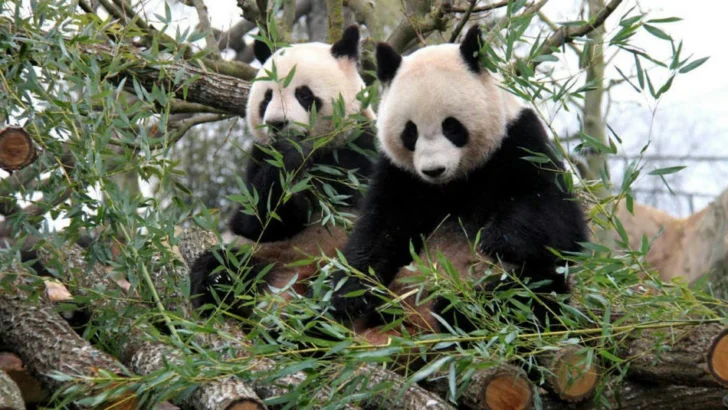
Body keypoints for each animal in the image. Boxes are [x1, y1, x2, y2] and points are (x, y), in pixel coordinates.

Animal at [189, 25, 377, 317]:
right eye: (267, 97)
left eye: (304, 94)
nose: (277, 123)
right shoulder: (258, 158)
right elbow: (254, 221)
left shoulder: (361, 148)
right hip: (263, 257)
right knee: (224, 263)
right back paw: (221, 282)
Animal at [324, 25, 589, 340]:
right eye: (410, 132)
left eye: (451, 126)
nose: (433, 170)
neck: (454, 182)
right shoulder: (401, 175)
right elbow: (379, 229)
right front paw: (350, 294)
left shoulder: (519, 141)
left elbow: (556, 215)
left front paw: (497, 239)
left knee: (523, 293)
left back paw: (461, 312)